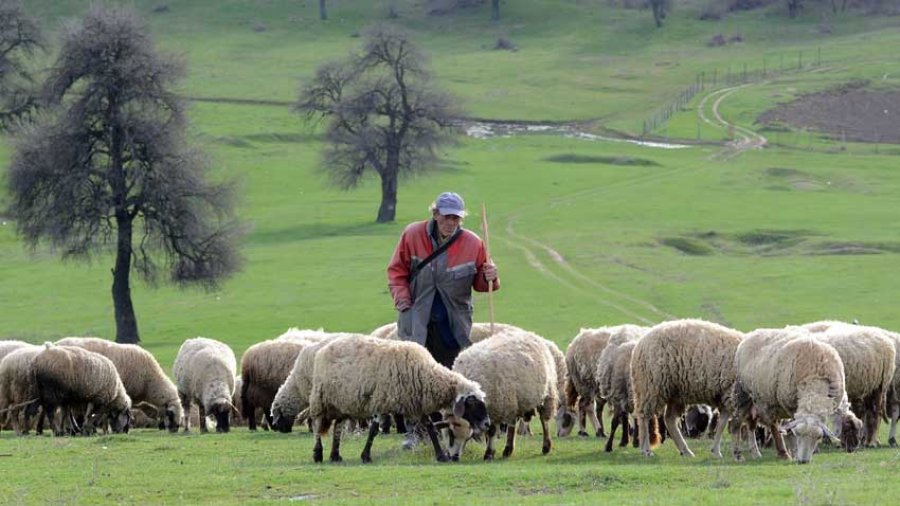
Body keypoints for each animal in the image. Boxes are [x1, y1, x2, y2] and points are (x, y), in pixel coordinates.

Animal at [310, 334, 492, 464]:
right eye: (471, 402)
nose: (487, 423)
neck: (426, 374)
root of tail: (325, 347)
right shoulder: (380, 400)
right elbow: (373, 430)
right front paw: (366, 456)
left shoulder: (416, 404)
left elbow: (430, 427)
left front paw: (441, 456)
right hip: (321, 399)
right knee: (318, 426)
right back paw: (318, 454)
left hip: (340, 402)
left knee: (337, 427)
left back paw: (335, 455)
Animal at [628, 320, 740, 458]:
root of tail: (639, 345)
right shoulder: (730, 393)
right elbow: (726, 423)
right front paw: (722, 451)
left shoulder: (726, 396)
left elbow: (723, 422)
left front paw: (717, 450)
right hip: (650, 387)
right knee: (644, 416)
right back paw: (646, 450)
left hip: (674, 393)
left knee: (669, 419)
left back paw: (685, 450)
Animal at [732, 326, 864, 464]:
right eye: (799, 434)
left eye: (818, 437)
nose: (803, 461)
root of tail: (754, 332)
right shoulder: (791, 407)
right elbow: (790, 431)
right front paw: (795, 452)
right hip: (744, 393)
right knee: (738, 422)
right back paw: (740, 454)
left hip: (763, 401)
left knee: (754, 424)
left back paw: (756, 453)